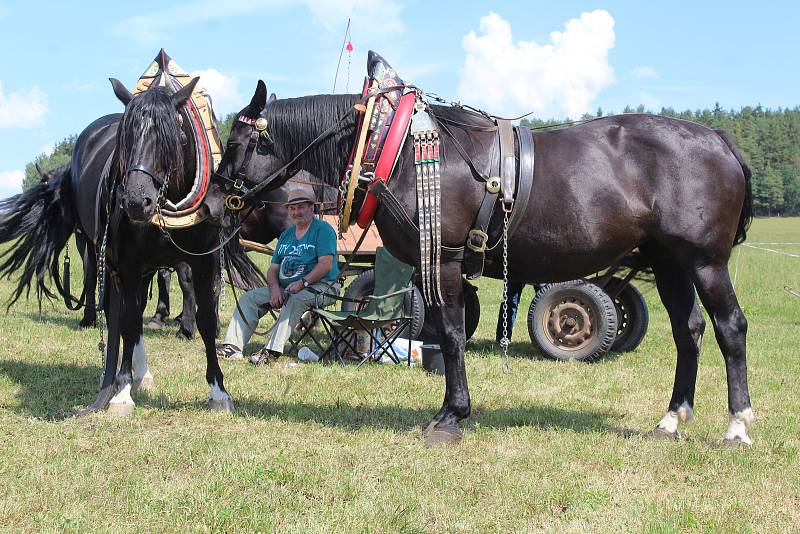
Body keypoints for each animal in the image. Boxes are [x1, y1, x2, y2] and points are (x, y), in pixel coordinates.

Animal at [0, 77, 258, 416]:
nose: (136, 201)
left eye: (175, 138)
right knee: (120, 313)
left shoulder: (203, 262)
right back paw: (125, 372)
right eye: (126, 140)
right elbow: (129, 320)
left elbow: (205, 319)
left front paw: (218, 391)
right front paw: (121, 391)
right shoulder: (126, 264)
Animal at [216, 79, 752, 448]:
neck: (398, 148)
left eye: (239, 143)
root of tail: (718, 139)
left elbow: (452, 336)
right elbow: (444, 331)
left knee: (730, 327)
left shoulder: (445, 261)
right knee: (688, 331)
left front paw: (452, 415)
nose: (219, 199)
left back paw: (737, 424)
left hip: (705, 262)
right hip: (669, 261)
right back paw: (672, 417)